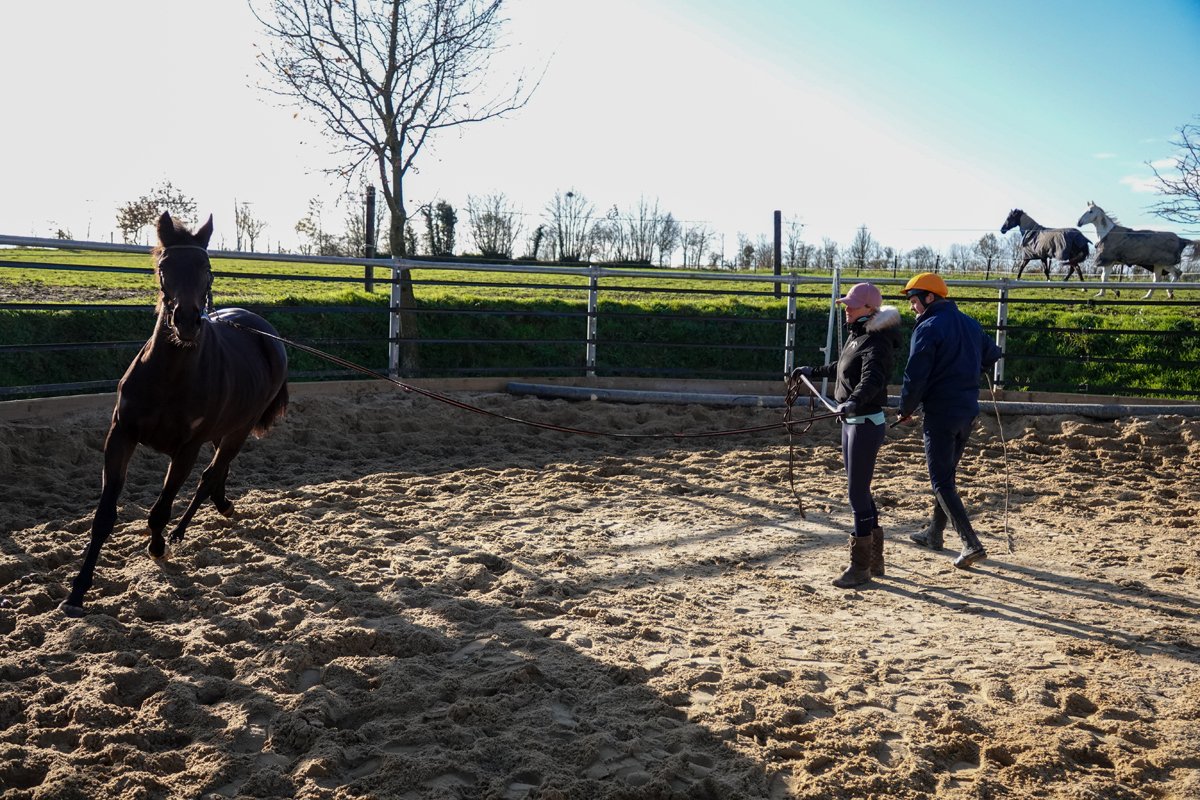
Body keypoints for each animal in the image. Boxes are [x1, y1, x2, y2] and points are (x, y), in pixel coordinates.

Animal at [60, 212, 289, 617]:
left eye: (207, 269)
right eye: (164, 267)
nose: (186, 321)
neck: (169, 376)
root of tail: (266, 332)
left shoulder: (187, 448)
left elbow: (160, 509)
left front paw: (157, 547)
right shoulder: (120, 435)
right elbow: (104, 517)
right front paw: (77, 593)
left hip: (239, 429)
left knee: (211, 474)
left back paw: (183, 531)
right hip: (225, 429)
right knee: (218, 472)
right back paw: (221, 507)